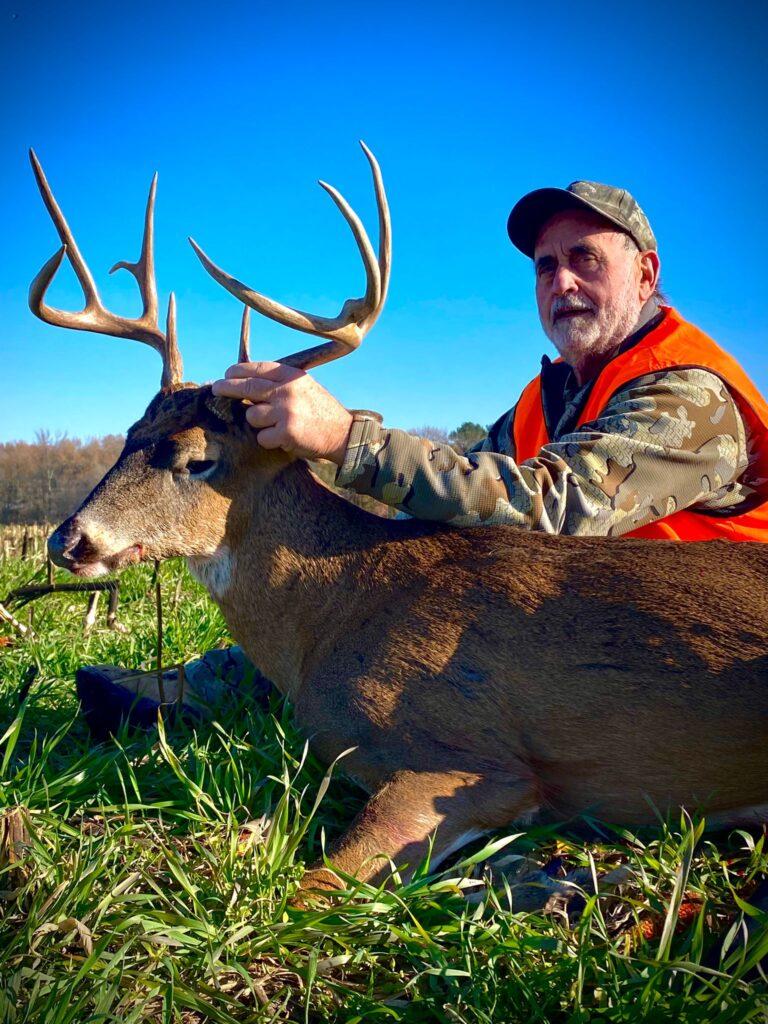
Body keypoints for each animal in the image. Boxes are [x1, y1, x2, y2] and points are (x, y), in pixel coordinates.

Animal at [30, 146, 768, 897]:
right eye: (128, 435)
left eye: (197, 460)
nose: (69, 539)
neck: (329, 617)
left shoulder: (472, 763)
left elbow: (302, 891)